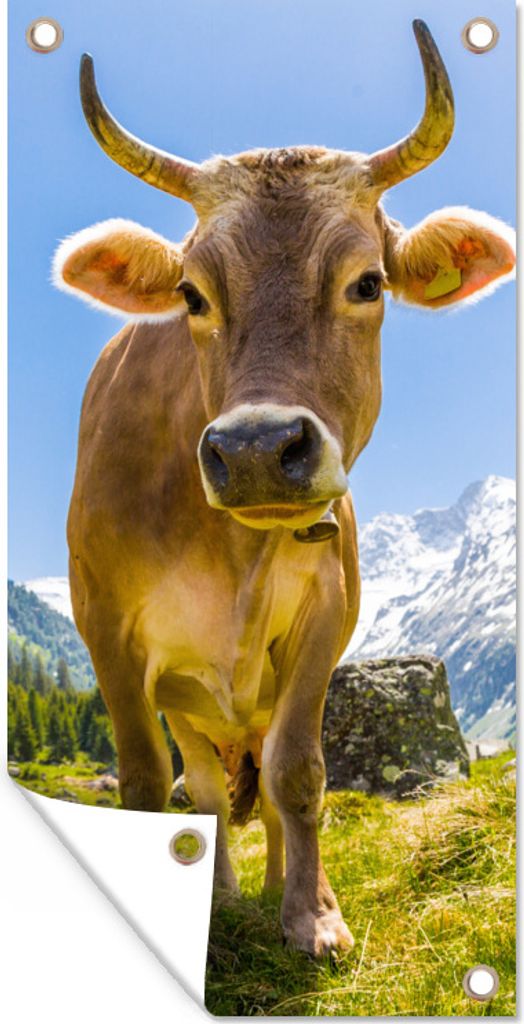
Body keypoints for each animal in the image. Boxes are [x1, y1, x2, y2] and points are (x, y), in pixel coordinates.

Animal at [53, 21, 515, 957]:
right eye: (191, 294)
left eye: (368, 282)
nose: (259, 449)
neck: (231, 551)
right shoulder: (105, 626)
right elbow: (148, 784)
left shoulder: (326, 616)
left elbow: (298, 772)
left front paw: (313, 916)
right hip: (188, 700)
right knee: (201, 789)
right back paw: (224, 892)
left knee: (260, 779)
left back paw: (268, 890)